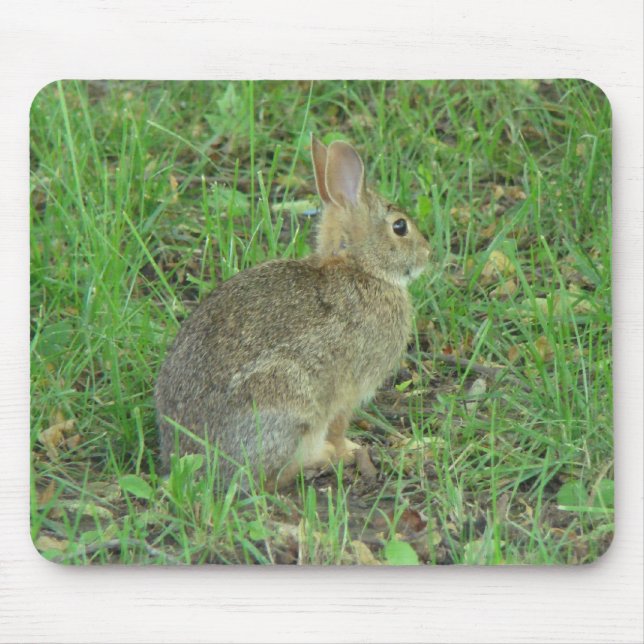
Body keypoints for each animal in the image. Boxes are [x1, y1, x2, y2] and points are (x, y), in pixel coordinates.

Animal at [155, 135, 430, 489]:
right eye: (400, 227)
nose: (428, 253)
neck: (359, 269)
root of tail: (200, 467)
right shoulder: (348, 391)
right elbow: (339, 426)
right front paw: (349, 449)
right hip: (288, 400)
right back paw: (320, 459)